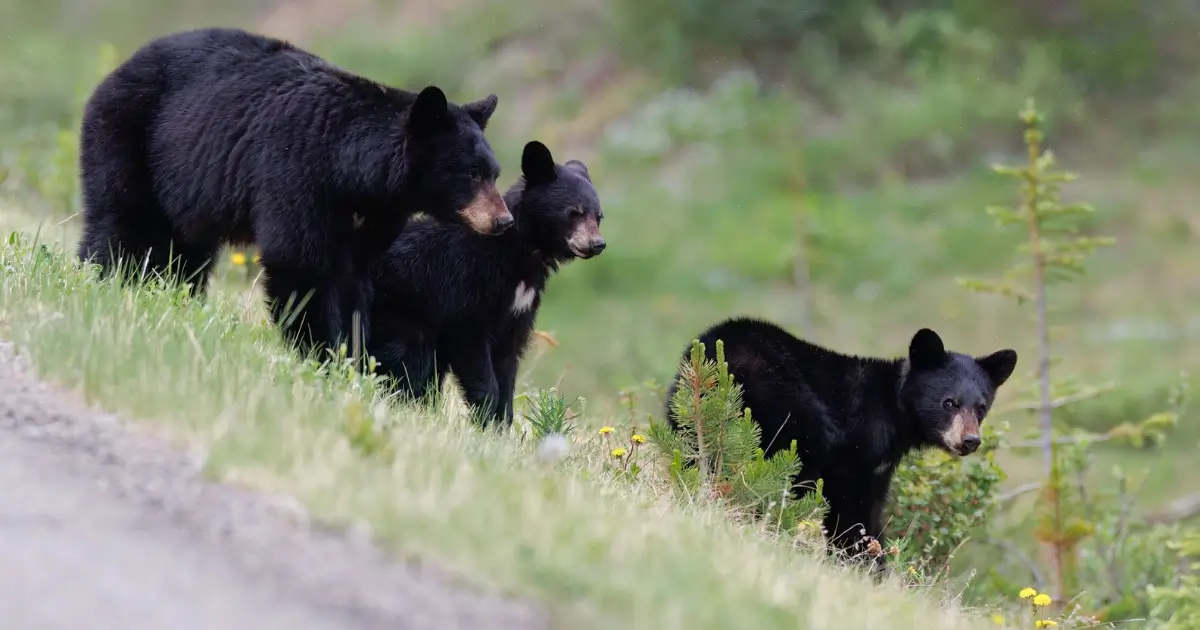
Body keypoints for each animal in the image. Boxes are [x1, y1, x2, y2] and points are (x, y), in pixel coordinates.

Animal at [76, 25, 511, 352]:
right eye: (470, 173)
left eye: (494, 172)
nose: (503, 220)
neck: (351, 169)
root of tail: (121, 66)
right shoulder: (296, 172)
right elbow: (301, 262)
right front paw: (319, 349)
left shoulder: (372, 214)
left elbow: (354, 275)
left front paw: (354, 355)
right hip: (131, 136)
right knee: (121, 220)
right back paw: (103, 279)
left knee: (187, 248)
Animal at [369, 139, 604, 424]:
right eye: (574, 213)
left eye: (598, 216)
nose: (597, 244)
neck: (521, 254)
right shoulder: (468, 289)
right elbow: (473, 349)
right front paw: (485, 417)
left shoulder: (518, 310)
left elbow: (507, 363)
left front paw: (501, 424)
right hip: (400, 311)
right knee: (407, 361)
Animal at [662, 319, 1017, 564]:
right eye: (949, 402)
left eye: (981, 406)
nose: (970, 440)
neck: (894, 411)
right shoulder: (855, 451)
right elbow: (851, 510)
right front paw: (861, 563)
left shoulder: (879, 468)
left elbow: (871, 508)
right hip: (792, 414)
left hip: (687, 412)